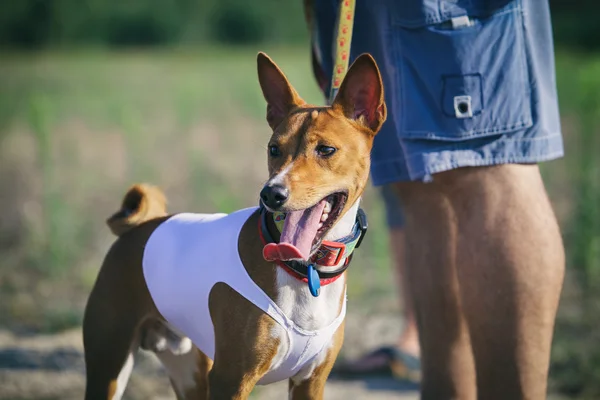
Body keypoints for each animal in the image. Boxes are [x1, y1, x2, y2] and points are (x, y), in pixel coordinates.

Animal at [83, 51, 384, 398]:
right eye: (274, 149)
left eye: (326, 149)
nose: (271, 193)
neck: (306, 269)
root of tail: (139, 228)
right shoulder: (231, 378)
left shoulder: (311, 381)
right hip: (110, 368)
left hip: (190, 373)